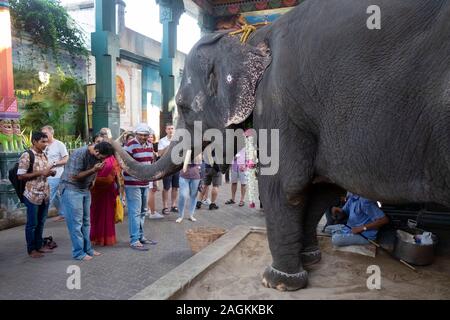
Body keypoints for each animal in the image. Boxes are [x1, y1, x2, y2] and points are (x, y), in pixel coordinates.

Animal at [113, 0, 450, 292]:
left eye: (182, 106)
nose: (108, 144)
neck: (249, 37)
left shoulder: (278, 102)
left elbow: (283, 186)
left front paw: (277, 282)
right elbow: (320, 189)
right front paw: (310, 262)